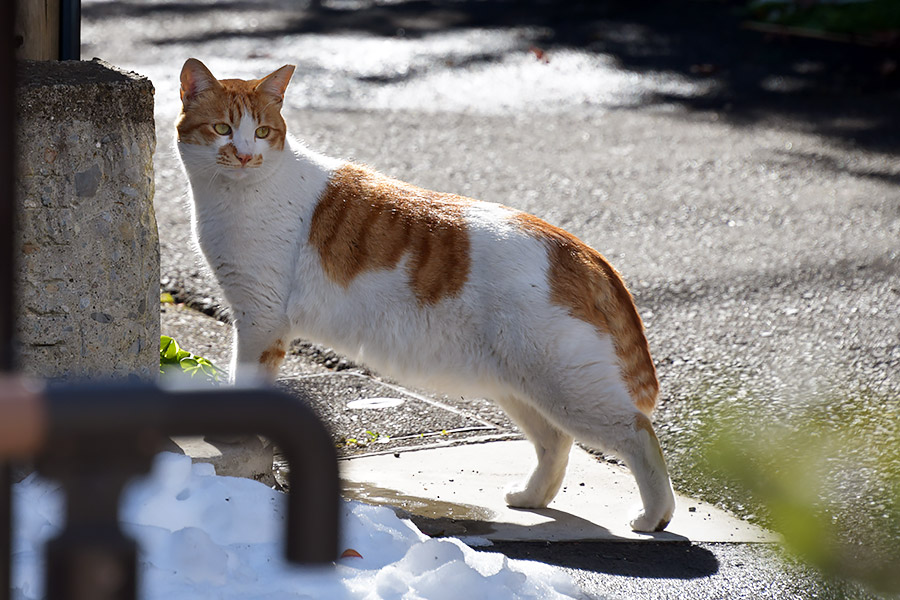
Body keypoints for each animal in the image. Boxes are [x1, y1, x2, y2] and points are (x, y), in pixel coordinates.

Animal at [176, 58, 676, 532]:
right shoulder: (258, 317)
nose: (244, 155)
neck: (241, 191)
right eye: (222, 129)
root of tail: (578, 248)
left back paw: (654, 515)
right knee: (556, 441)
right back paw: (532, 497)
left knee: (638, 433)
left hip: (567, 387)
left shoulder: (260, 318)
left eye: (262, 131)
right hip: (520, 384)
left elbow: (245, 380)